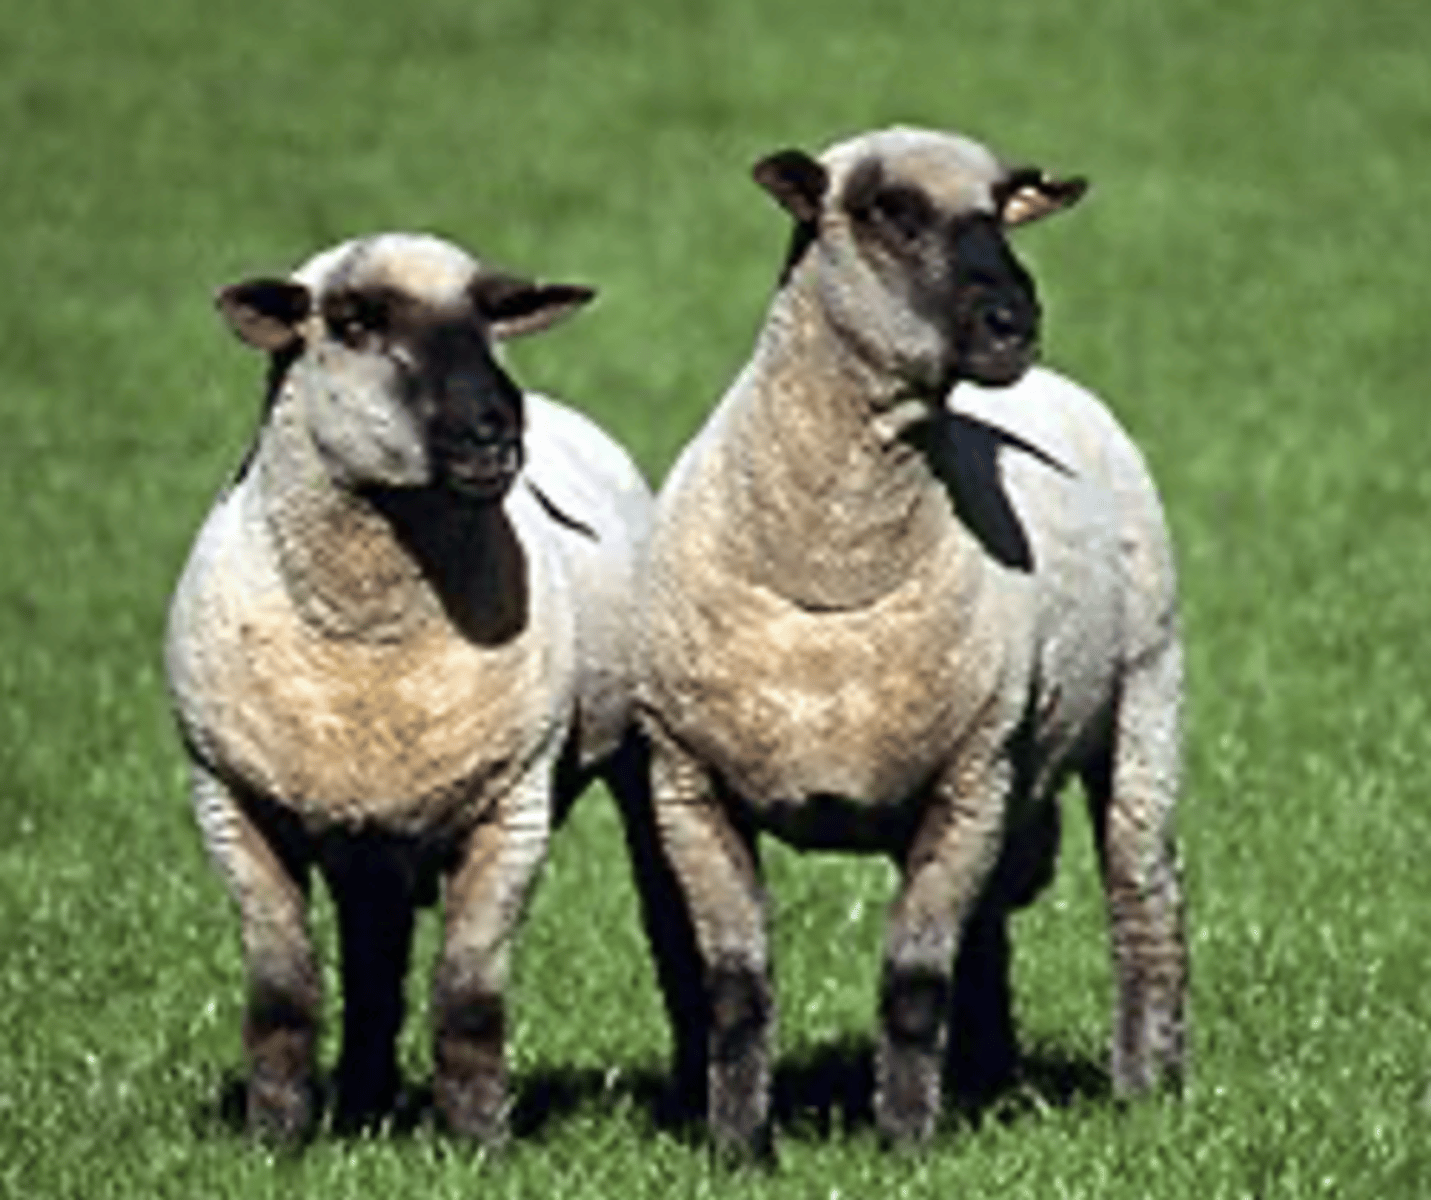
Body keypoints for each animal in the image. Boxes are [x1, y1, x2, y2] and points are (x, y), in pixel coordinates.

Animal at [165, 232, 661, 1145]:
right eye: (354, 322)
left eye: (490, 317)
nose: (497, 426)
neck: (369, 641)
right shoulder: (231, 798)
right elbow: (282, 991)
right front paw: (274, 1141)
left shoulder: (512, 805)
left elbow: (468, 993)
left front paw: (479, 1144)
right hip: (367, 827)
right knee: (373, 960)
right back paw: (362, 1103)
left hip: (639, 759)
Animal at [636, 128, 1187, 1156]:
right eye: (888, 212)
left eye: (1002, 208)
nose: (1014, 322)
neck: (832, 564)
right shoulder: (687, 783)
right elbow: (735, 990)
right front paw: (738, 1149)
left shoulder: (969, 774)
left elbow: (913, 983)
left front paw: (902, 1146)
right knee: (990, 932)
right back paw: (986, 1077)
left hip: (1146, 698)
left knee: (1143, 894)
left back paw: (1150, 1092)